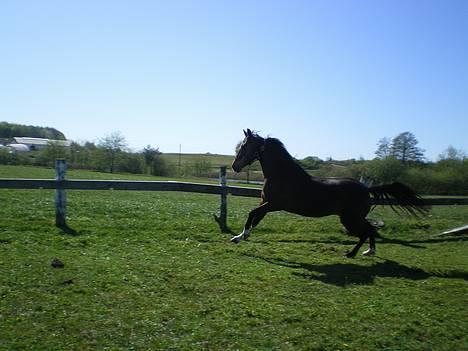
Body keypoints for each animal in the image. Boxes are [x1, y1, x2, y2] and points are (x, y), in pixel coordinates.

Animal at [229, 129, 428, 258]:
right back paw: (369, 252)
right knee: (370, 229)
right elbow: (256, 219)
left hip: (350, 219)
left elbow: (252, 214)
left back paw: (352, 253)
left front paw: (240, 236)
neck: (281, 175)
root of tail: (366, 189)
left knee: (366, 231)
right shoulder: (266, 204)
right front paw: (241, 237)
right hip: (353, 218)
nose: (235, 166)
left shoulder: (274, 205)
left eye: (245, 146)